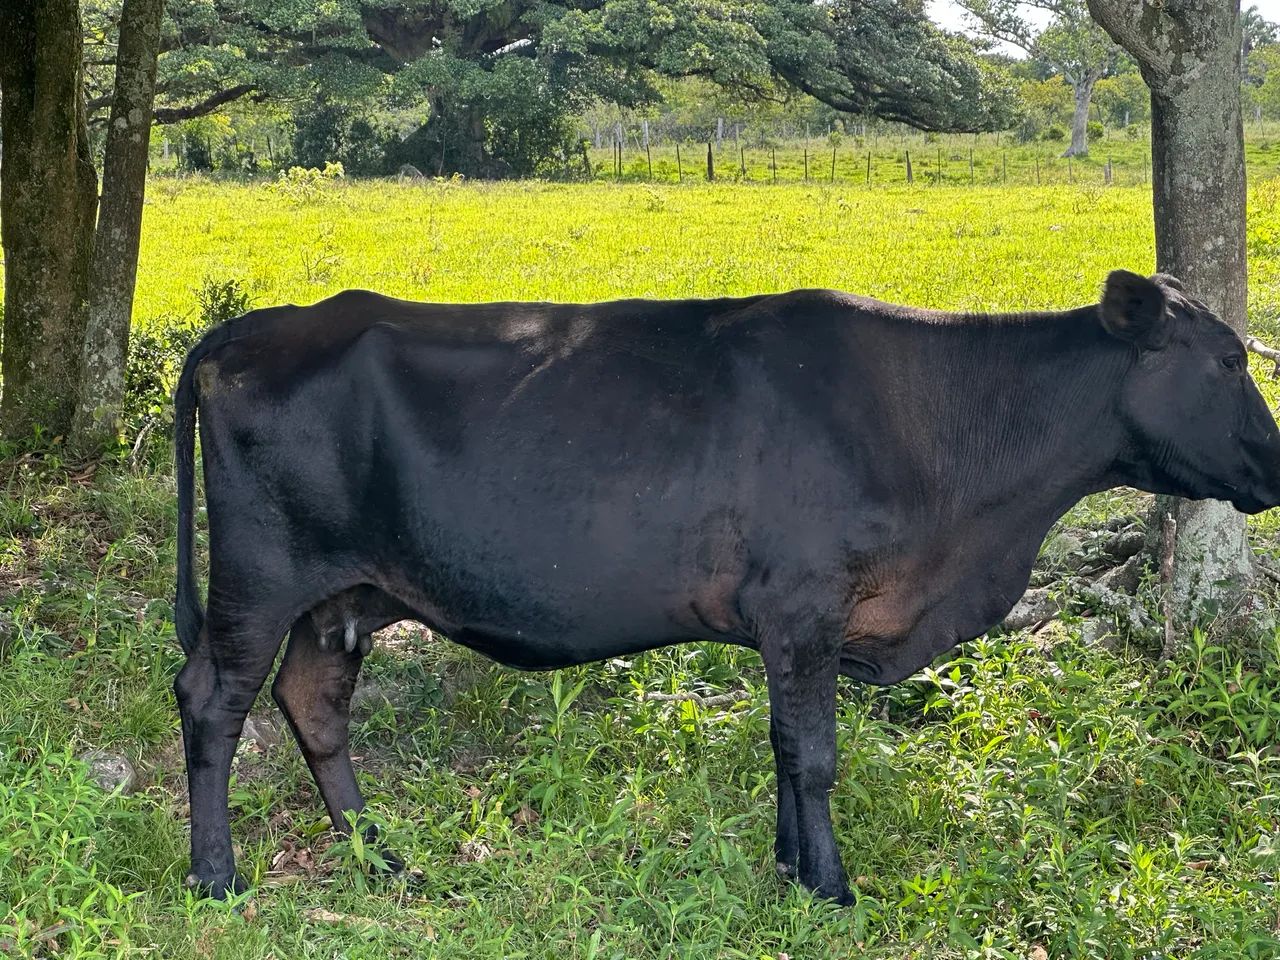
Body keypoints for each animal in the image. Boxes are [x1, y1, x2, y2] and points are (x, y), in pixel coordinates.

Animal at [173, 270, 1280, 905]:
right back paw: (218, 877)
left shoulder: (792, 622)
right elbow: (818, 756)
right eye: (1228, 360)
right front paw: (831, 888)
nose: (1276, 465)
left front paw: (790, 871)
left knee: (312, 702)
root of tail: (254, 330)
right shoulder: (805, 600)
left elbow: (786, 748)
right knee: (213, 701)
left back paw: (382, 859)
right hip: (261, 576)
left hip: (340, 592)